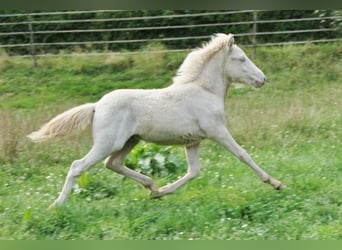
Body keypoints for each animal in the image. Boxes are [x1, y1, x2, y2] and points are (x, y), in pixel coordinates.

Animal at [28, 33, 286, 209]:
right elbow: (244, 155)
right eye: (242, 59)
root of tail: (97, 106)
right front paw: (276, 183)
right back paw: (56, 206)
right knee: (78, 166)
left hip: (130, 141)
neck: (204, 91)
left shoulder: (193, 141)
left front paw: (163, 192)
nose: (262, 79)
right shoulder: (217, 131)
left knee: (114, 163)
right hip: (107, 143)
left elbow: (194, 171)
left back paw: (152, 186)